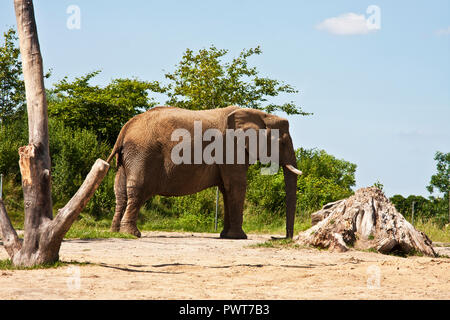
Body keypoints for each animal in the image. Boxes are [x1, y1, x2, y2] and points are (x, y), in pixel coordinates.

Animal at [107, 106, 300, 239]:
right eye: (282, 143)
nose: (281, 237)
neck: (259, 115)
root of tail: (125, 129)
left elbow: (226, 190)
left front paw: (226, 236)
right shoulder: (231, 149)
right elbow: (236, 186)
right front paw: (239, 237)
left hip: (128, 157)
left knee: (120, 192)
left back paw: (115, 232)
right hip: (142, 154)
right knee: (137, 191)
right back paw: (132, 234)